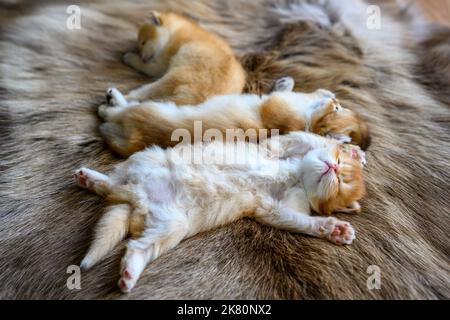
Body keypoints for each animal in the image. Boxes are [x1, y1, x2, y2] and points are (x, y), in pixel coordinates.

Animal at [74, 131, 366, 292]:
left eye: (340, 184)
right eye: (340, 167)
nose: (333, 168)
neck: (297, 176)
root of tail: (132, 199)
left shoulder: (275, 209)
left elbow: (303, 221)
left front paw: (335, 229)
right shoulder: (277, 146)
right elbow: (308, 137)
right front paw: (351, 148)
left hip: (171, 226)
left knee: (136, 245)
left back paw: (129, 274)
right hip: (145, 158)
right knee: (113, 180)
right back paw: (90, 178)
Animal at [97, 77, 370, 158]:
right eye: (339, 109)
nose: (336, 101)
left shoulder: (278, 106)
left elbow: (301, 96)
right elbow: (292, 90)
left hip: (149, 109)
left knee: (114, 112)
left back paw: (110, 101)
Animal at [112, 10, 246, 105]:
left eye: (143, 42)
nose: (142, 56)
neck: (175, 32)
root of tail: (200, 98)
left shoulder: (161, 64)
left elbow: (146, 66)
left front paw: (130, 57)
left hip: (171, 78)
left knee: (141, 96)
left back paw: (115, 99)